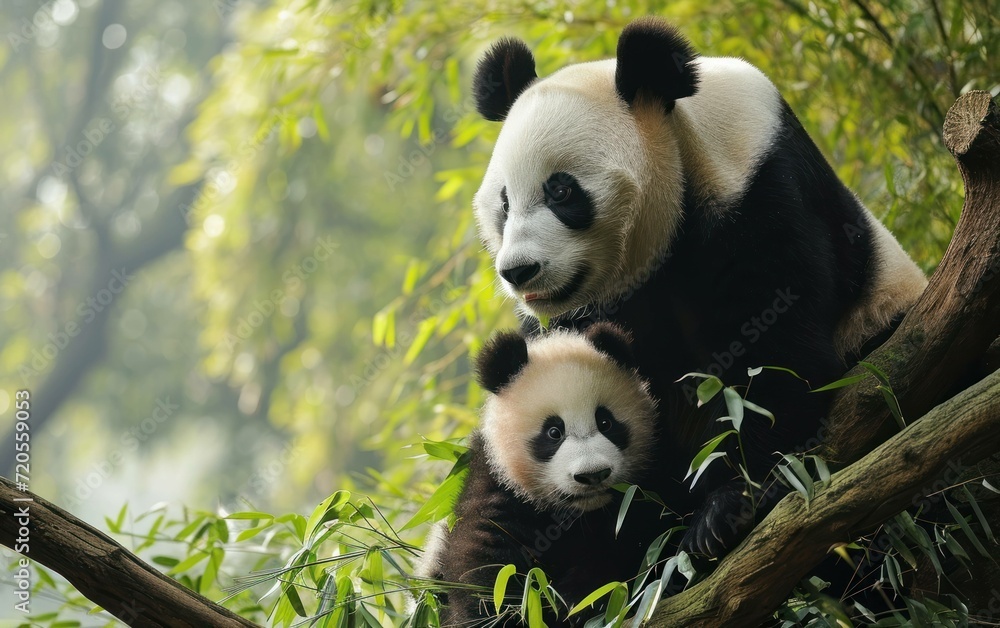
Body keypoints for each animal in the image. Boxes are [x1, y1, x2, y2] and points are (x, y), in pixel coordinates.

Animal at [420, 323, 658, 626]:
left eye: (606, 422)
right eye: (553, 432)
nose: (593, 475)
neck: (577, 514)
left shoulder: (634, 498)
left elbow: (628, 545)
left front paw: (577, 599)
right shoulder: (496, 484)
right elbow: (487, 563)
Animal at [470, 17, 927, 560]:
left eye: (560, 190)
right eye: (504, 201)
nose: (518, 271)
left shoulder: (760, 191)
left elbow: (770, 357)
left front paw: (724, 507)